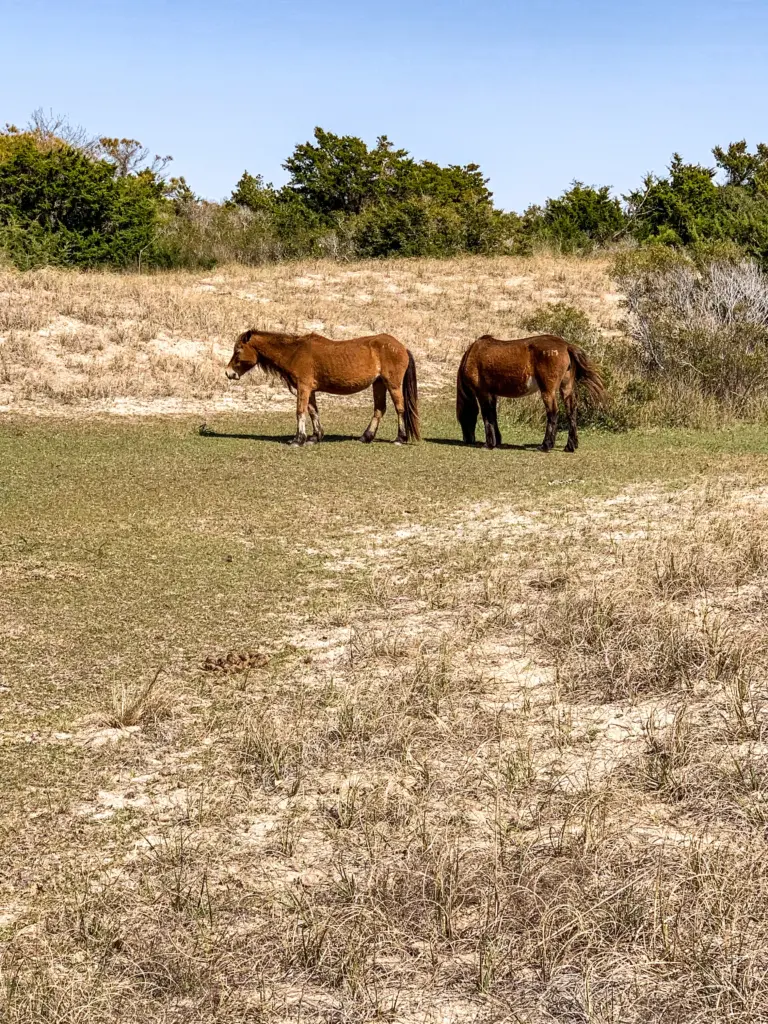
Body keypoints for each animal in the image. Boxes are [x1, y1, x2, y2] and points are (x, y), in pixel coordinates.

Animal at [225, 329, 421, 446]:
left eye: (238, 350)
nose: (228, 373)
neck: (294, 352)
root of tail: (402, 347)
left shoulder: (303, 387)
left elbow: (300, 411)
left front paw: (298, 439)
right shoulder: (309, 390)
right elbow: (313, 411)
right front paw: (315, 436)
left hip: (392, 384)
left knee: (400, 408)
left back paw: (400, 438)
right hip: (378, 384)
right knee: (379, 410)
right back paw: (366, 436)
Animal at [456, 333, 606, 450]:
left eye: (462, 417)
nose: (468, 439)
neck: (473, 354)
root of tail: (566, 345)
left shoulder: (483, 393)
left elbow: (487, 416)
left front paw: (489, 443)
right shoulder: (492, 394)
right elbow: (493, 416)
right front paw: (497, 441)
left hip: (548, 391)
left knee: (553, 413)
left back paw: (546, 445)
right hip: (566, 388)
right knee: (571, 412)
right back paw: (570, 446)